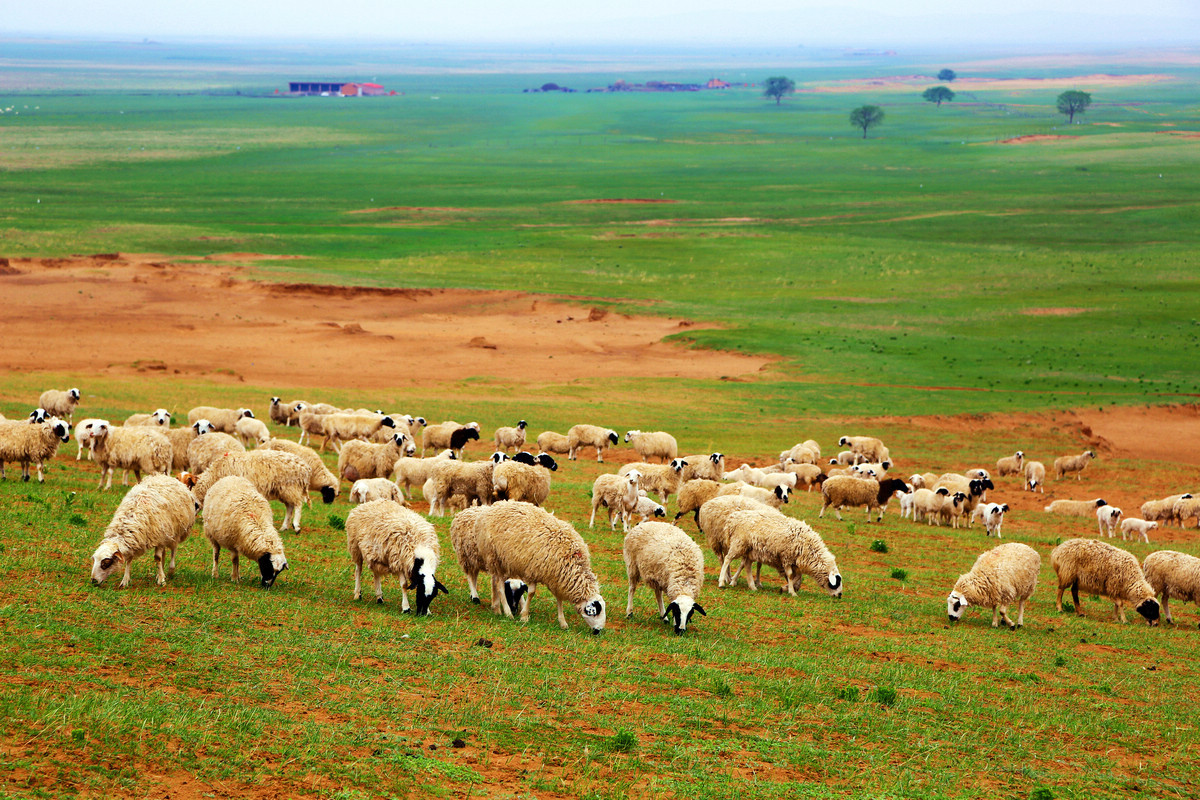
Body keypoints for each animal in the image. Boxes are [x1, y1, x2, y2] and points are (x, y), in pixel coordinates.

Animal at [193, 450, 333, 532]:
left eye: (194, 504)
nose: (192, 521)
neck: (214, 476)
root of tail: (306, 468)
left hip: (291, 487)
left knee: (298, 504)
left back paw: (296, 526)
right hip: (283, 490)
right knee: (290, 507)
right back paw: (284, 527)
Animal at [463, 501, 604, 633]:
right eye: (595, 612)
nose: (598, 631)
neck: (573, 561)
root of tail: (496, 505)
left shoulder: (556, 578)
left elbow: (559, 599)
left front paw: (563, 622)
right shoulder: (534, 571)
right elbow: (531, 593)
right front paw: (524, 616)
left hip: (501, 562)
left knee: (495, 582)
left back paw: (496, 608)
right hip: (493, 557)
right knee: (500, 586)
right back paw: (507, 612)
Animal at [715, 510, 849, 597]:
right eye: (837, 582)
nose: (840, 595)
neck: (810, 549)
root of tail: (733, 518)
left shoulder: (795, 562)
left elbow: (797, 577)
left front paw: (785, 588)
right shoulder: (787, 557)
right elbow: (790, 575)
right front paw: (792, 592)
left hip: (750, 550)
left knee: (747, 566)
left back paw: (752, 586)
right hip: (739, 543)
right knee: (727, 559)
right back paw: (722, 582)